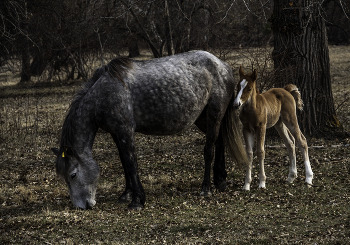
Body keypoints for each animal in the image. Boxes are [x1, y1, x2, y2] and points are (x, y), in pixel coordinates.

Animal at [52, 50, 249, 210]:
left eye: (73, 174)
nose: (82, 206)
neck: (102, 95)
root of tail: (222, 65)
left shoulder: (125, 132)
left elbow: (131, 163)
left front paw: (137, 201)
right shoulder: (116, 134)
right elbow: (124, 162)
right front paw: (126, 194)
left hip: (214, 113)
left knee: (209, 150)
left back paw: (206, 188)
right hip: (204, 119)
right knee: (220, 141)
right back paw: (220, 180)